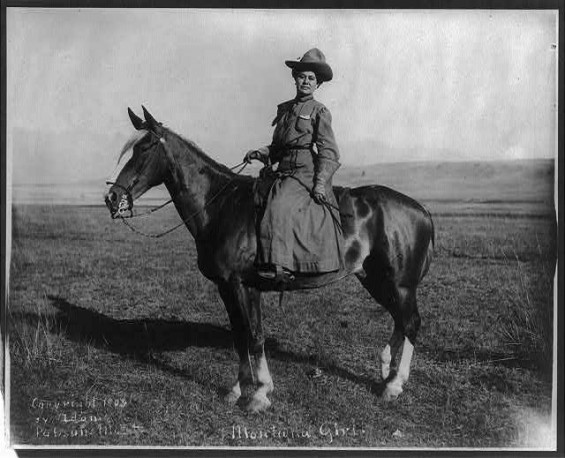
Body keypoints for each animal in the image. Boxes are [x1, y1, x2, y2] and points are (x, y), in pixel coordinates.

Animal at [103, 106, 434, 412]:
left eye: (145, 148)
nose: (112, 198)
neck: (221, 206)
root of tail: (421, 209)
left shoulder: (244, 286)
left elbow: (254, 336)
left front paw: (260, 394)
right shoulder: (227, 287)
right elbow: (240, 336)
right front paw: (237, 390)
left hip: (400, 284)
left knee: (411, 322)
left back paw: (394, 384)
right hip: (375, 279)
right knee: (400, 320)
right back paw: (386, 370)